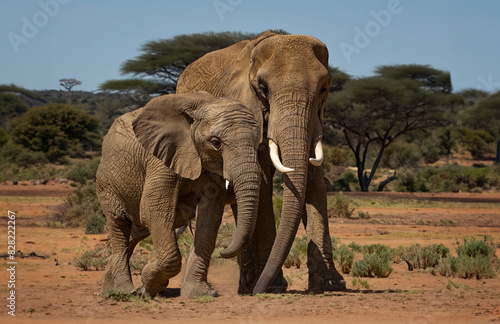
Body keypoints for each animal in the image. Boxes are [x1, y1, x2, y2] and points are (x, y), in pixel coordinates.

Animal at [95, 91, 264, 298]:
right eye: (216, 143)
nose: (224, 252)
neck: (203, 105)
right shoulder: (160, 158)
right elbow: (153, 209)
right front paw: (148, 281)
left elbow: (209, 216)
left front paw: (199, 293)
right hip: (107, 183)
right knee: (119, 224)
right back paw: (123, 290)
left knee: (136, 231)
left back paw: (108, 290)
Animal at [178, 31, 346, 294]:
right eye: (264, 89)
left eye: (323, 88)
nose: (261, 290)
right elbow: (264, 183)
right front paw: (274, 286)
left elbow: (314, 178)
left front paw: (331, 284)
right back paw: (250, 284)